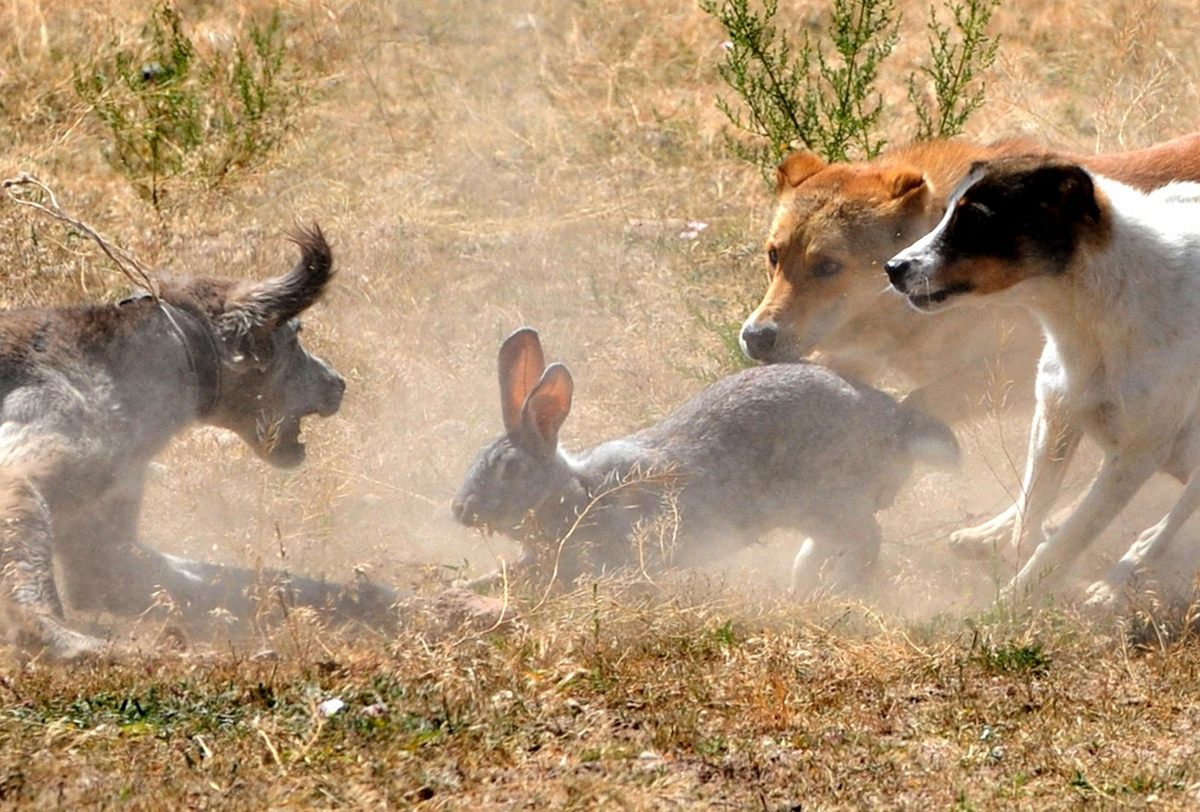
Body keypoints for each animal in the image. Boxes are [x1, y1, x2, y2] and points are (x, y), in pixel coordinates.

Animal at [883, 154, 1200, 604]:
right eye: (944, 214)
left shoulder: (1135, 457)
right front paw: (1013, 553)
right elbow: (1031, 514)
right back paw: (988, 533)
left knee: (1169, 522)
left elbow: (1068, 540)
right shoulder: (1055, 416)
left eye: (974, 221)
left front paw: (1012, 604)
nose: (891, 268)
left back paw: (1118, 579)